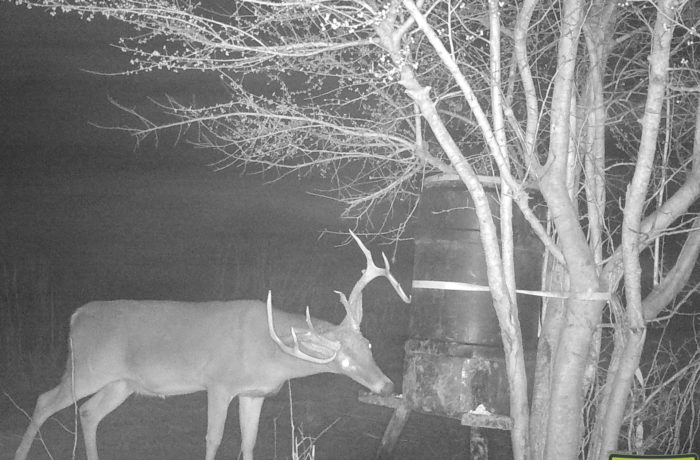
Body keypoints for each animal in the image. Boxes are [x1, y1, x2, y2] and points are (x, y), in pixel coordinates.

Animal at [14, 231, 411, 460]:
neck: (270, 352)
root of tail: (76, 315)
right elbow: (213, 438)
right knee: (45, 401)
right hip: (87, 367)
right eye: (341, 361)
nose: (387, 385)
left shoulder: (254, 392)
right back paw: (20, 453)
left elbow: (249, 441)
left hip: (121, 383)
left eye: (368, 346)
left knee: (88, 413)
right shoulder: (219, 383)